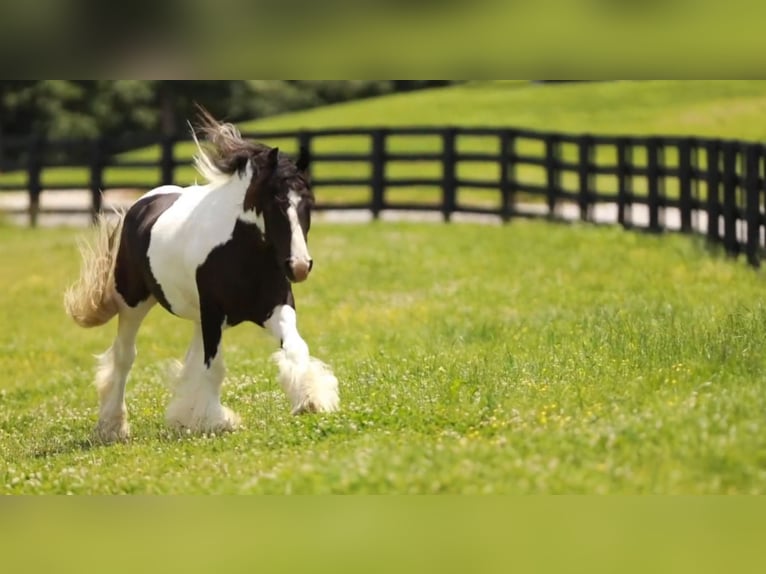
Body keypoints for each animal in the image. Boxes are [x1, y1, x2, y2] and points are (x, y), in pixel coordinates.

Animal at [64, 109, 340, 446]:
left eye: (308, 203)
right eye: (275, 203)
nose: (299, 266)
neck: (240, 250)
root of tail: (141, 204)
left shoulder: (275, 307)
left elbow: (295, 347)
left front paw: (311, 399)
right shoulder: (213, 313)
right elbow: (214, 368)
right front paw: (216, 421)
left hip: (197, 316)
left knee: (189, 360)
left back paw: (181, 415)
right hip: (134, 303)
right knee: (124, 357)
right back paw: (113, 426)